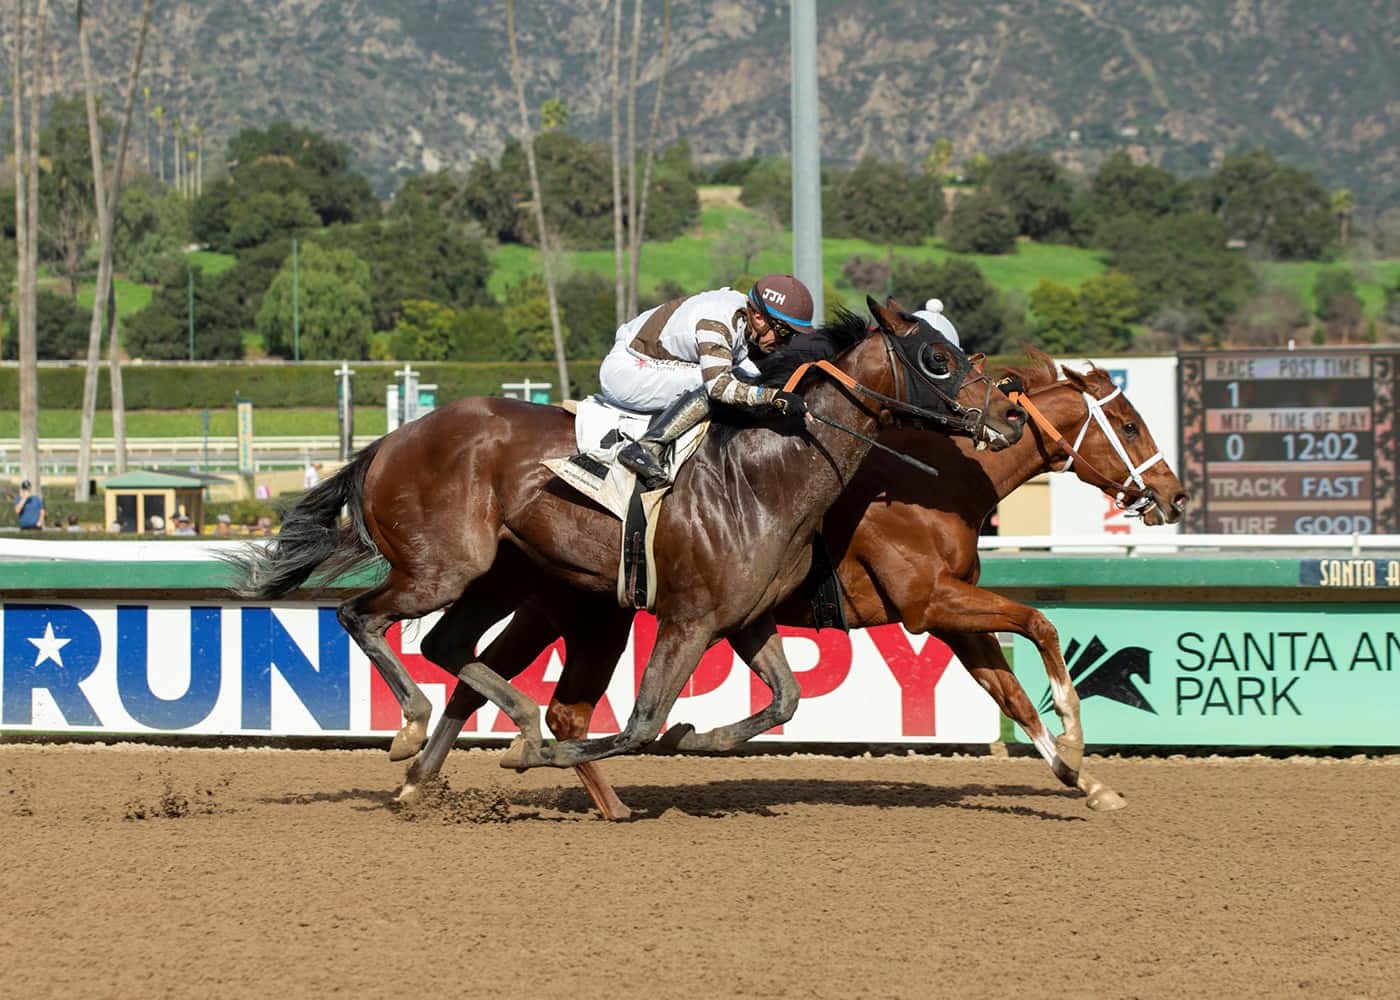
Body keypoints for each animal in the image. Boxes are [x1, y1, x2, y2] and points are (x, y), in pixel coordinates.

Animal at [224, 295, 1024, 778]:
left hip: (500, 573)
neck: (766, 473)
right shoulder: (689, 618)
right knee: (360, 616)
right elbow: (640, 724)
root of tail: (389, 442)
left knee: (445, 644)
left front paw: (699, 737)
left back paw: (498, 731)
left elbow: (787, 701)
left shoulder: (745, 617)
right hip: (442, 567)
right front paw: (557, 754)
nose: (1009, 417)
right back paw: (420, 728)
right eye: (939, 360)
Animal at [400, 348, 1187, 812]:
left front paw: (1087, 780)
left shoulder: (951, 615)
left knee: (477, 674)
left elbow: (1013, 696)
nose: (1174, 496)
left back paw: (425, 776)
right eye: (1128, 422)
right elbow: (1039, 622)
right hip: (592, 613)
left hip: (556, 604)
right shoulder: (930, 602)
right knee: (531, 695)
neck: (933, 479)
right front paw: (1079, 738)